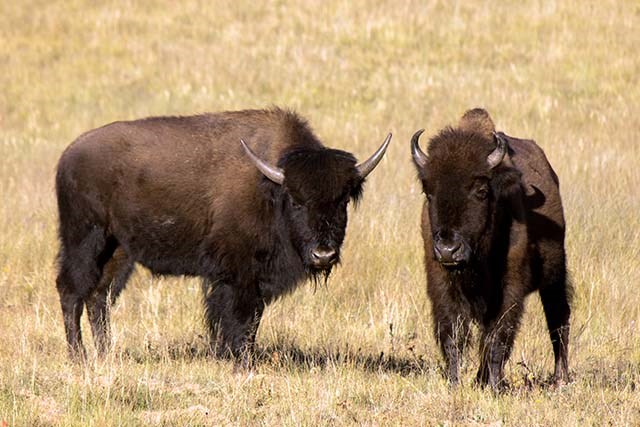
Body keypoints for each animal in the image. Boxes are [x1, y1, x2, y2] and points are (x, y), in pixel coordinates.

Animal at [56, 108, 390, 362]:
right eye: (296, 201)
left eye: (342, 201)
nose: (324, 255)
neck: (270, 187)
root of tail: (69, 155)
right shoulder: (237, 275)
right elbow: (238, 316)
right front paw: (240, 360)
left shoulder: (255, 280)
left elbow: (252, 317)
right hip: (85, 240)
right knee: (72, 290)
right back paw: (78, 357)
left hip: (119, 251)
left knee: (99, 296)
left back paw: (105, 354)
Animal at [412, 108, 572, 388]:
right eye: (428, 191)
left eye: (481, 190)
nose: (448, 249)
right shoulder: (441, 284)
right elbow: (453, 333)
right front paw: (455, 382)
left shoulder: (508, 289)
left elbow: (498, 336)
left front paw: (494, 385)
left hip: (555, 274)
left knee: (558, 318)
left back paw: (559, 378)